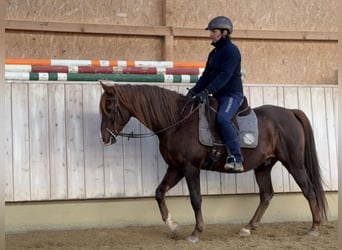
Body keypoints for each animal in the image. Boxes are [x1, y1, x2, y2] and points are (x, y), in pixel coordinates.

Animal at [98, 81, 326, 242]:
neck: (177, 122)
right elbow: (159, 192)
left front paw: (196, 232)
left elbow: (196, 199)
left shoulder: (190, 168)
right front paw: (173, 226)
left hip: (294, 164)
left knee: (308, 190)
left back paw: (314, 228)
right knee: (267, 195)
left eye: (109, 107)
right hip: (263, 166)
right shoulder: (176, 167)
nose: (105, 137)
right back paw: (248, 228)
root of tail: (290, 112)